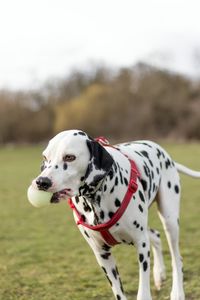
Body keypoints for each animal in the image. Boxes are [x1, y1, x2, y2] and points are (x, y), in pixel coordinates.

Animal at [32, 129, 200, 300]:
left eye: (69, 157)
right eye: (45, 157)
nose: (41, 182)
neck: (96, 199)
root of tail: (164, 153)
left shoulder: (141, 244)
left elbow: (143, 291)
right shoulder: (102, 255)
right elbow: (118, 291)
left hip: (169, 220)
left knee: (176, 258)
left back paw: (177, 292)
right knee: (155, 235)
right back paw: (159, 274)